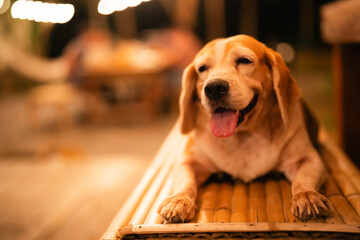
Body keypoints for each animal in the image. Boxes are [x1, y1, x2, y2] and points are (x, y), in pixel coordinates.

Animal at [156, 35, 330, 223]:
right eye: (202, 68)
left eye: (244, 60)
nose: (214, 88)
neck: (243, 136)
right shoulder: (187, 161)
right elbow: (185, 182)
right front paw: (178, 200)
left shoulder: (308, 158)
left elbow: (302, 179)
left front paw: (307, 195)